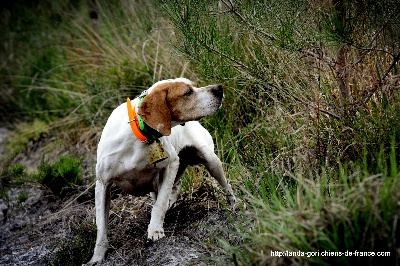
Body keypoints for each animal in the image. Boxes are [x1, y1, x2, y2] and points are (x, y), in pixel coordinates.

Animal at [87, 77, 236, 264]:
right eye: (187, 92)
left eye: (195, 86)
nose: (219, 88)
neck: (139, 133)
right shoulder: (102, 184)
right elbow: (101, 228)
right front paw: (97, 257)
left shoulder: (172, 163)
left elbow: (159, 205)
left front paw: (155, 230)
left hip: (211, 160)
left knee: (225, 187)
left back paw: (234, 204)